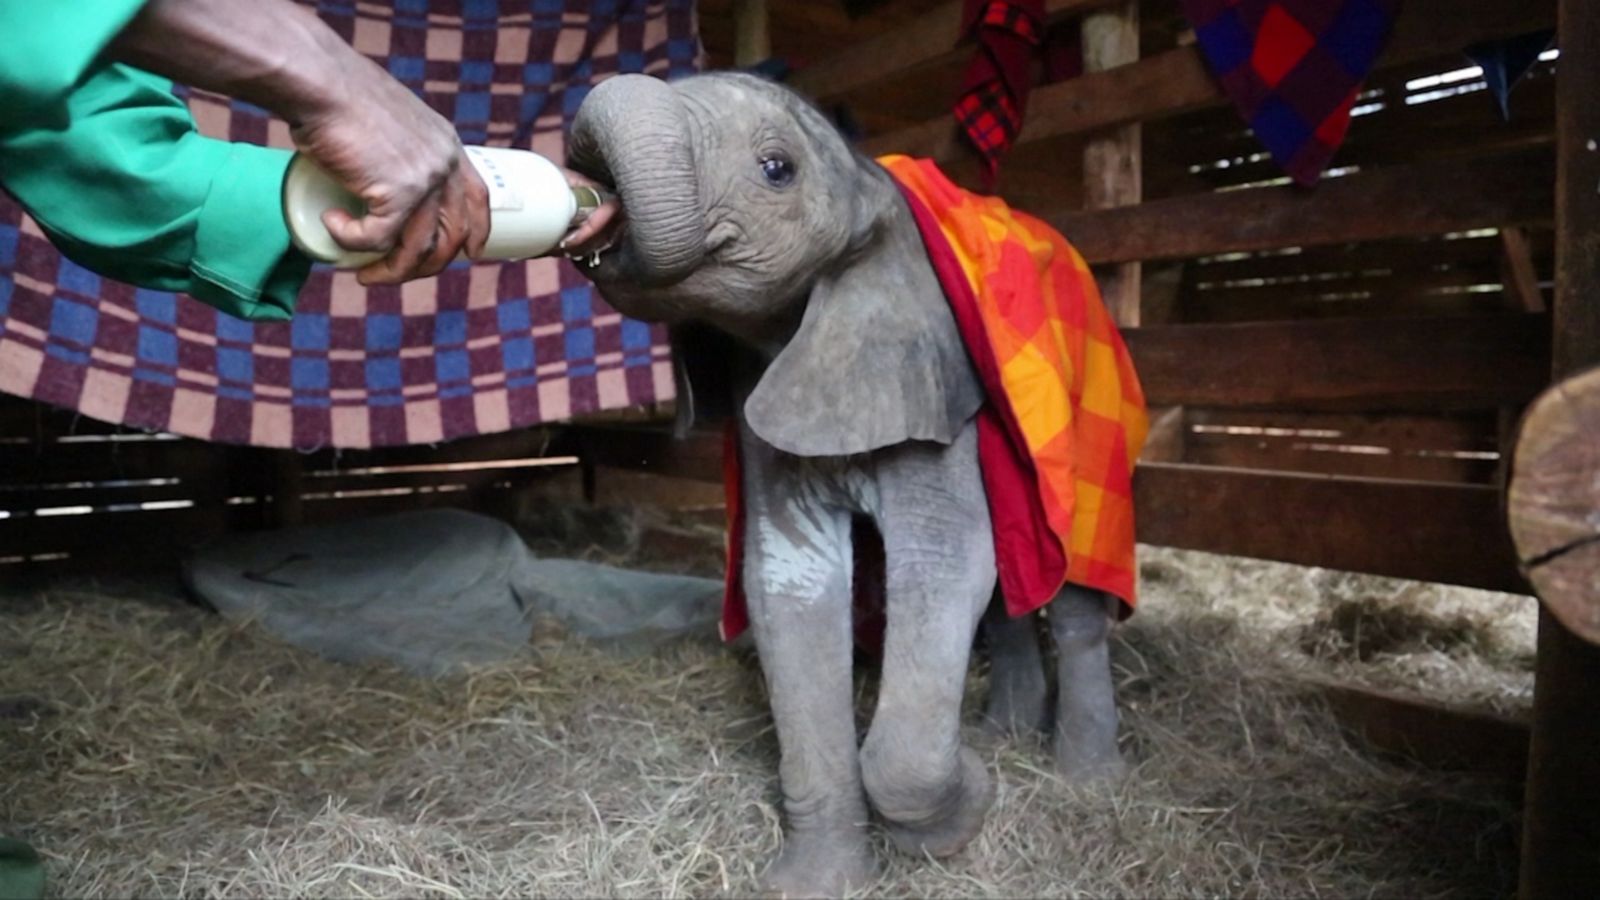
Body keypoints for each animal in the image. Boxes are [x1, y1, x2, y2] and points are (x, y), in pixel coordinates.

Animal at [569, 71, 1145, 896]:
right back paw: (1003, 733)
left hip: (1083, 438)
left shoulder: (925, 366)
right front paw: (815, 883)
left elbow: (941, 562)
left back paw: (1084, 778)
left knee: (1068, 588)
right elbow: (791, 580)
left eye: (777, 169)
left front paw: (967, 804)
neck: (866, 184)